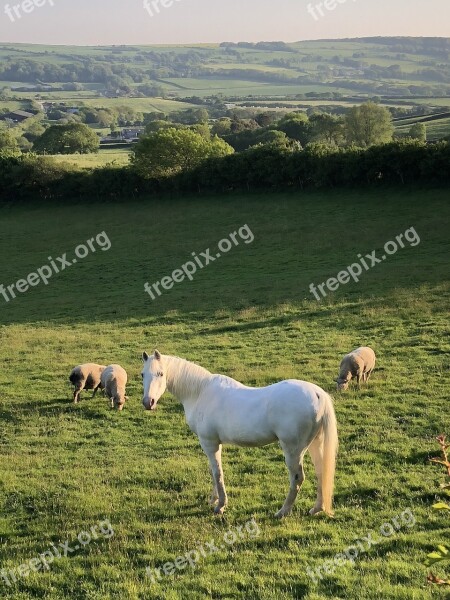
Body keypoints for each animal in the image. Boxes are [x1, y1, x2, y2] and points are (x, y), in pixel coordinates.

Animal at [142, 350, 338, 516]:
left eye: (160, 373)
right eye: (143, 374)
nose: (148, 402)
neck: (200, 392)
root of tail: (318, 394)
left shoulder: (209, 443)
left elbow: (217, 473)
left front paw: (220, 506)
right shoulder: (214, 444)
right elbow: (214, 471)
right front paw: (214, 500)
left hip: (293, 450)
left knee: (297, 478)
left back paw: (282, 511)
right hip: (314, 444)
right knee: (321, 472)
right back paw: (316, 508)